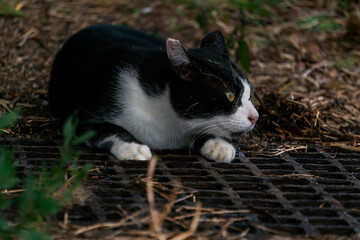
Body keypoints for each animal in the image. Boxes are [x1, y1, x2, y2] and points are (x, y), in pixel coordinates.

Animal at [48, 24, 258, 163]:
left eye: (249, 95)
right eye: (230, 95)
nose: (255, 116)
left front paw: (217, 144)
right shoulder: (79, 118)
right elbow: (107, 128)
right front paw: (132, 147)